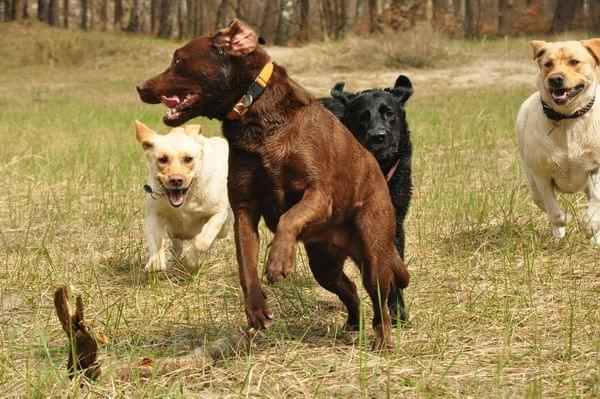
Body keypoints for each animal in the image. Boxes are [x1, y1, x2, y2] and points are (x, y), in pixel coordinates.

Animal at [135, 122, 232, 272]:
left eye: (188, 159)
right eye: (162, 159)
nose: (176, 180)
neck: (187, 200)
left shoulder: (219, 213)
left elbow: (203, 241)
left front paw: (190, 261)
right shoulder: (154, 214)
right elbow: (156, 240)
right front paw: (156, 263)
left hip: (226, 228)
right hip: (172, 229)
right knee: (176, 243)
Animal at [516, 38, 600, 244]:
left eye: (574, 62)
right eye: (548, 64)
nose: (554, 79)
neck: (568, 118)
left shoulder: (596, 167)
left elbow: (597, 198)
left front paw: (590, 224)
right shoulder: (542, 176)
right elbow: (554, 212)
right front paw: (564, 222)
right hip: (533, 186)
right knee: (544, 205)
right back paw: (558, 234)